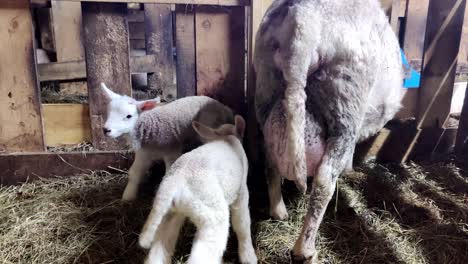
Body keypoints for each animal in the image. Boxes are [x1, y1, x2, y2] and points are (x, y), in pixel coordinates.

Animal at [101, 83, 234, 201]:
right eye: (108, 112)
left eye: (129, 116)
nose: (106, 130)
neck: (150, 126)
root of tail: (223, 107)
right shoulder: (143, 153)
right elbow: (134, 173)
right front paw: (128, 196)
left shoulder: (172, 151)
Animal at [137, 115, 258, 264]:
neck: (226, 137)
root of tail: (173, 183)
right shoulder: (241, 193)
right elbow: (242, 224)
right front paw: (248, 256)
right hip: (212, 215)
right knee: (203, 254)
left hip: (168, 214)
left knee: (159, 248)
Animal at [254, 0, 404, 262]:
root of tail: (303, 20)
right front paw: (350, 169)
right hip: (345, 101)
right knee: (324, 180)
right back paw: (305, 251)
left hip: (266, 89)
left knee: (270, 159)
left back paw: (278, 211)